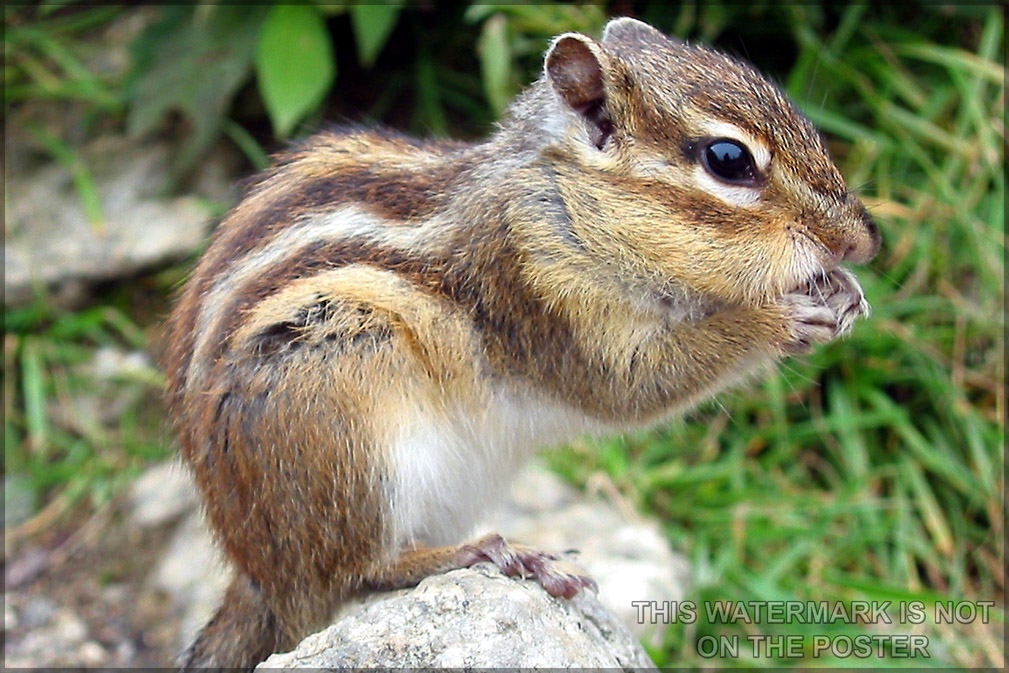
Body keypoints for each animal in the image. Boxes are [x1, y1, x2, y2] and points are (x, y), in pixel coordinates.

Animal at [164, 17, 879, 669]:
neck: (565, 200)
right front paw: (776, 318)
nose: (865, 241)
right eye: (728, 160)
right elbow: (633, 387)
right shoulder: (534, 292)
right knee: (353, 572)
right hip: (341, 405)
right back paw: (494, 554)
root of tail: (259, 574)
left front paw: (845, 294)